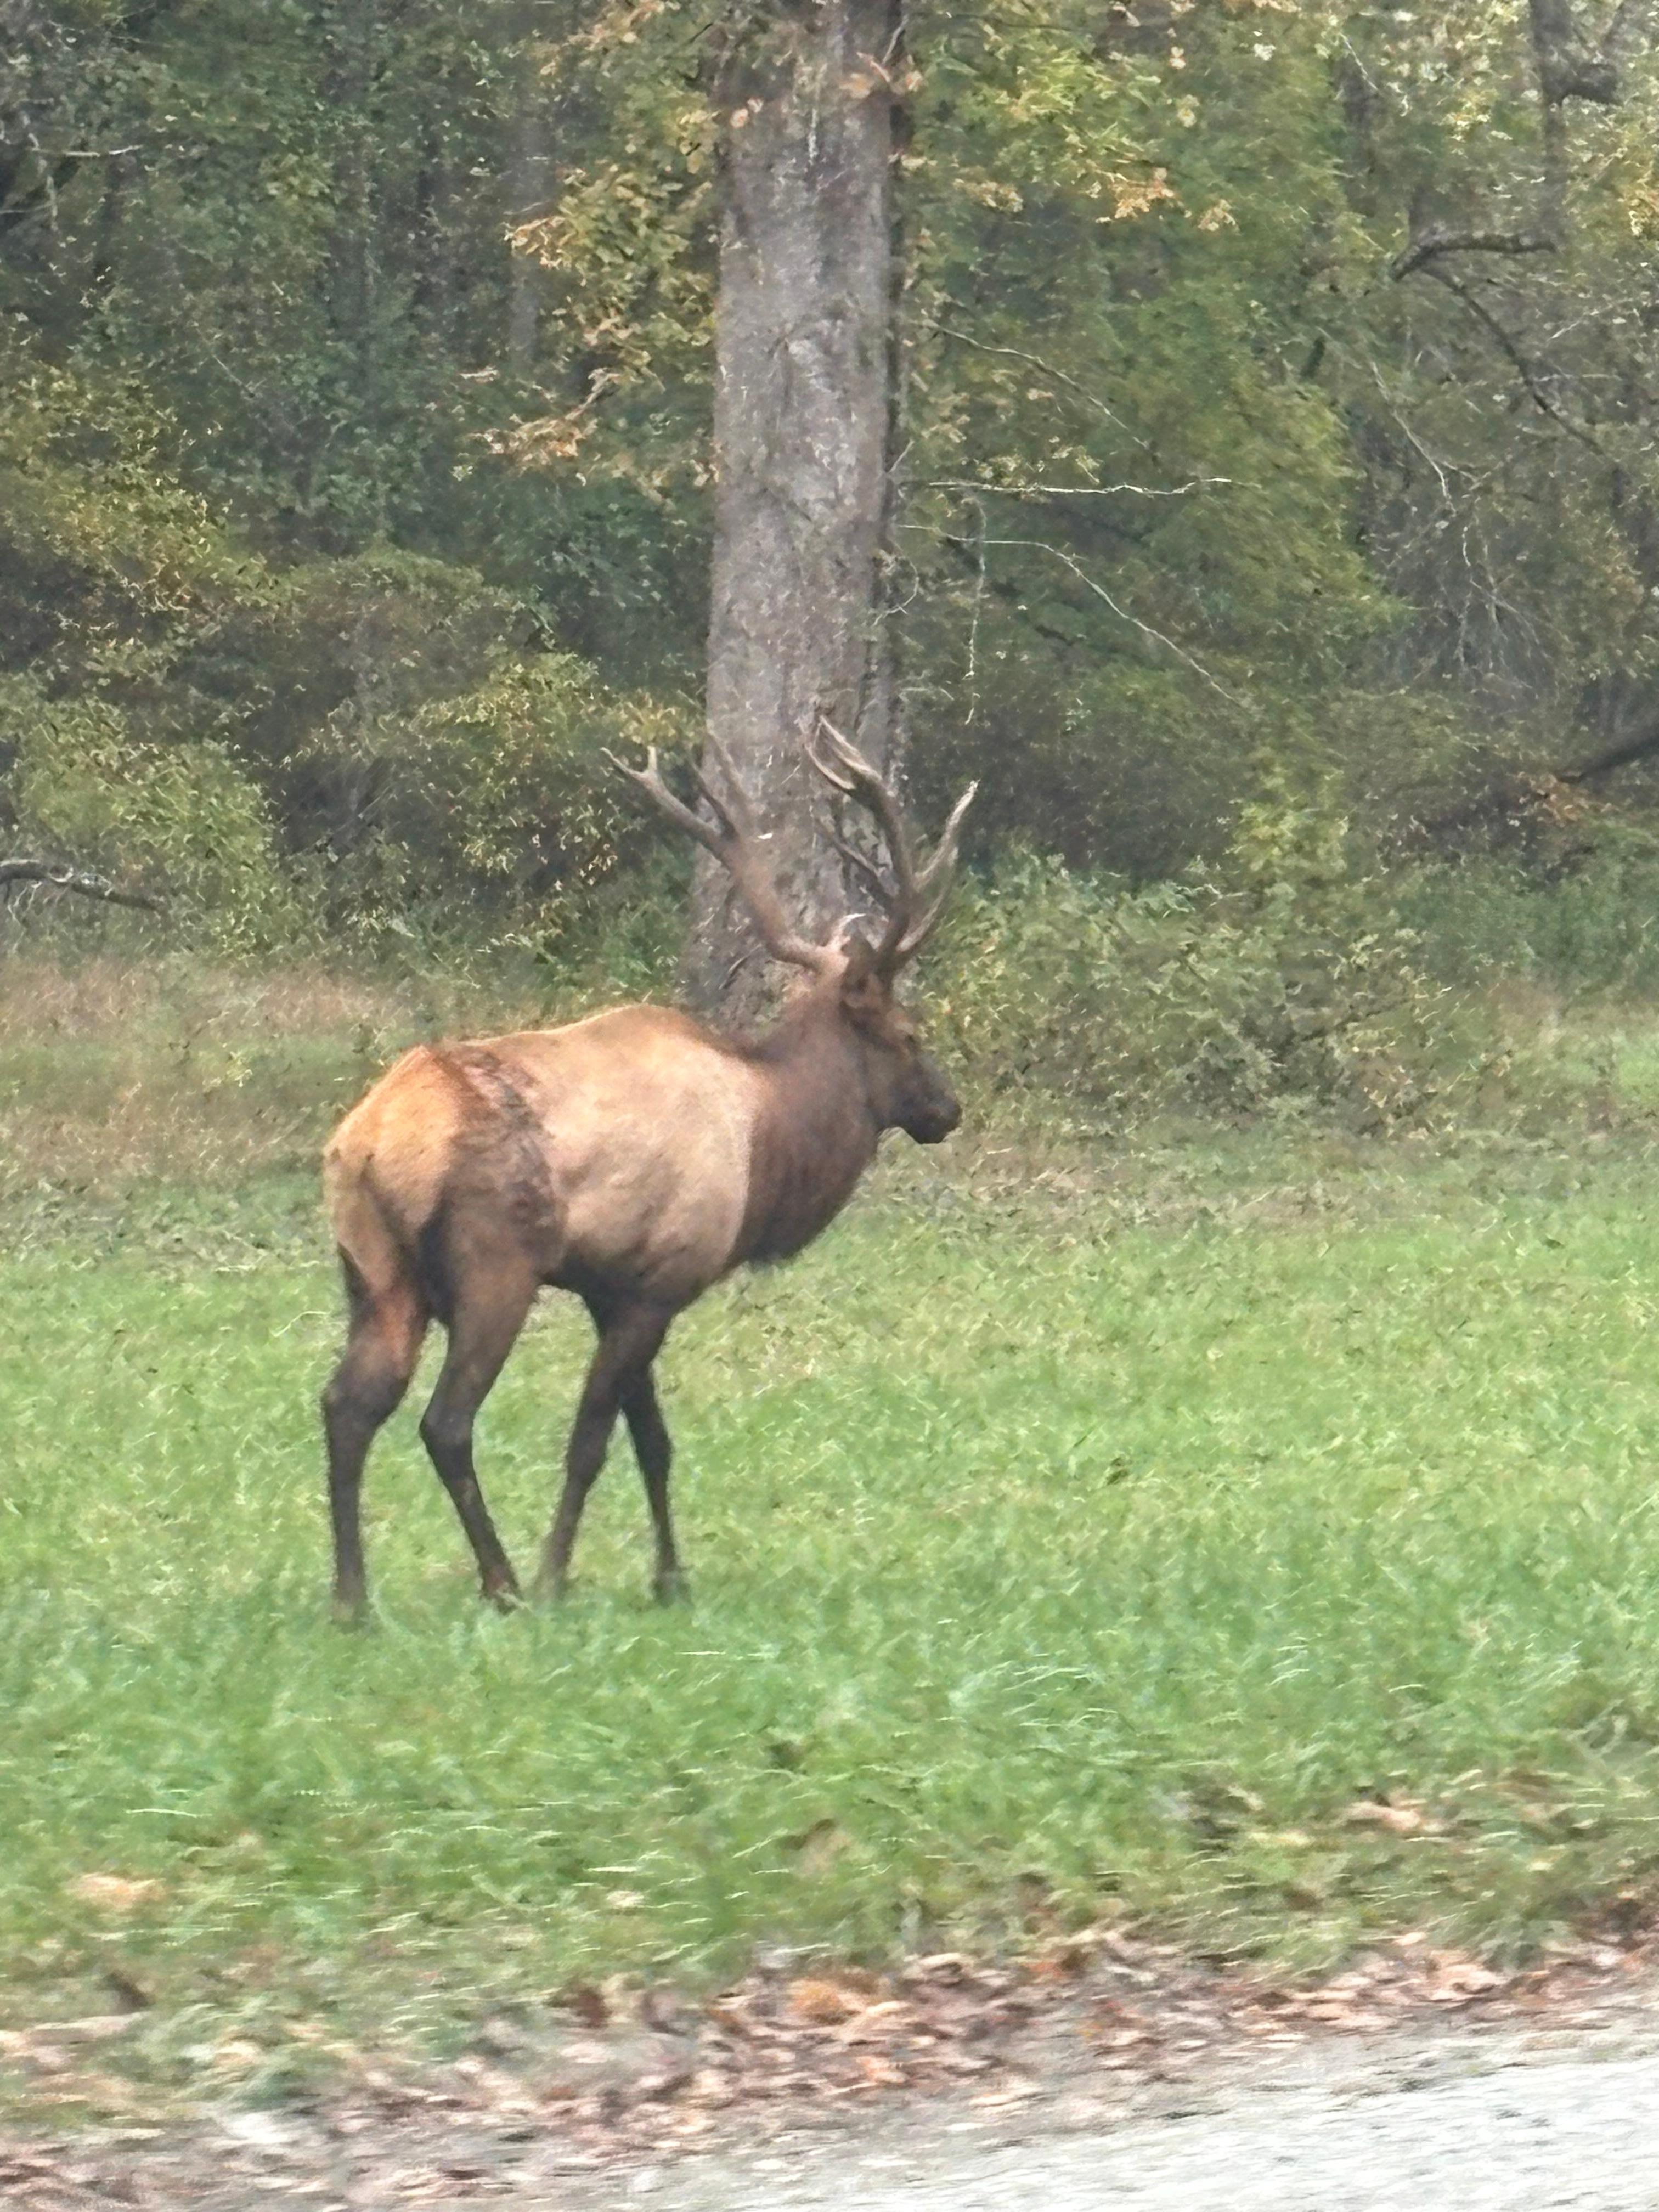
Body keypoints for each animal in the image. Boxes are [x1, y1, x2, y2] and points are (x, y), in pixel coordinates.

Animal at [319, 723, 975, 1619]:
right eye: (909, 1033)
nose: (948, 1108)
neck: (767, 1138)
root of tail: (372, 1143)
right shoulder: (661, 1281)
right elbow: (594, 1443)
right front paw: (561, 1573)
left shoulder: (615, 1289)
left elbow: (654, 1442)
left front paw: (671, 1577)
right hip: (495, 1268)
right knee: (443, 1422)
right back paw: (505, 1584)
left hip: (374, 1272)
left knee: (346, 1406)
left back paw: (353, 1598)